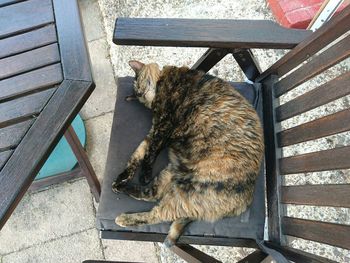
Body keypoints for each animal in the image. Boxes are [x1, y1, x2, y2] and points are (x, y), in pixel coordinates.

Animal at [111, 60, 262, 248]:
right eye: (138, 95)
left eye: (139, 85)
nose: (140, 94)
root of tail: (245, 202)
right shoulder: (154, 131)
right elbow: (138, 154)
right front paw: (122, 177)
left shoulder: (162, 127)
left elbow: (150, 154)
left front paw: (143, 175)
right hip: (171, 173)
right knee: (152, 194)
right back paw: (120, 187)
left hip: (186, 195)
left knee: (157, 213)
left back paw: (124, 218)